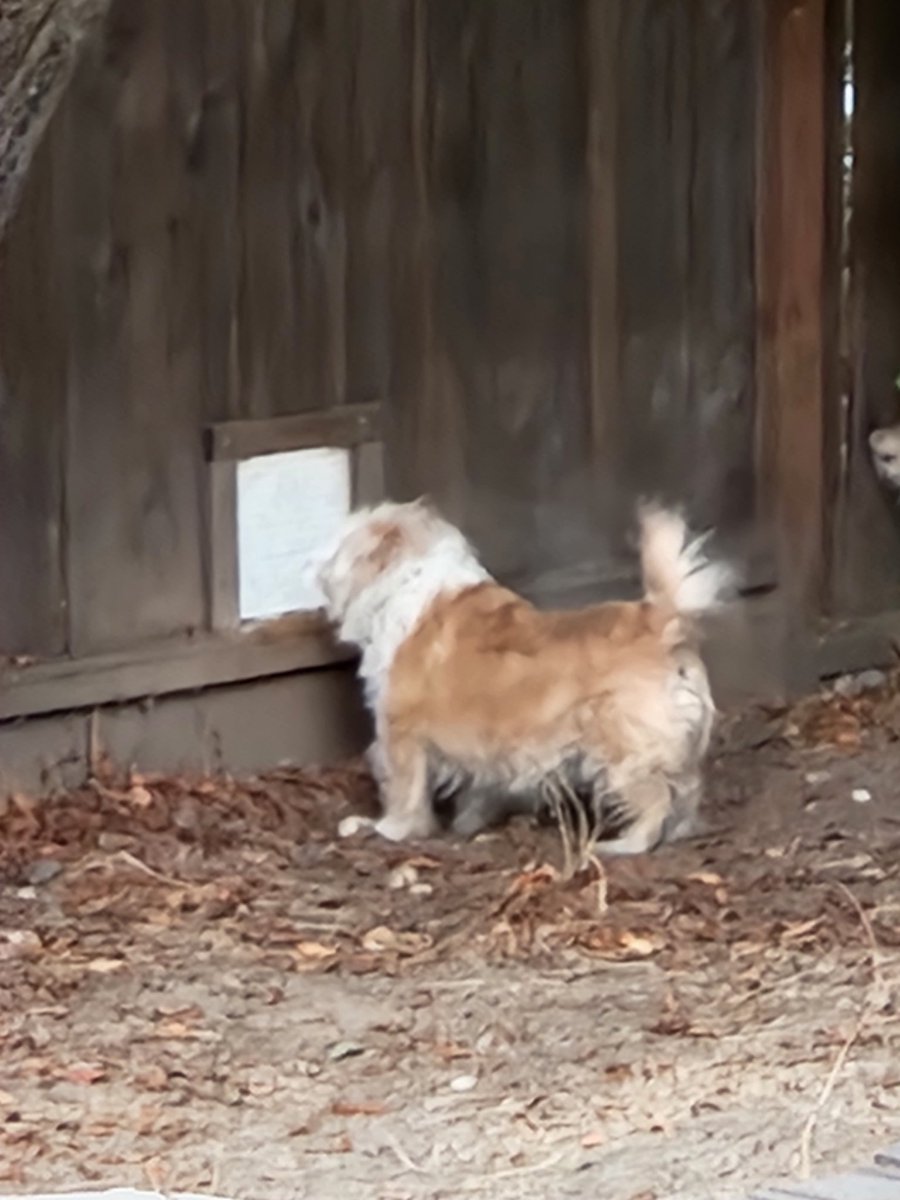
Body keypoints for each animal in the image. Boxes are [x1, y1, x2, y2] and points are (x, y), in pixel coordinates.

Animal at [319, 496, 734, 854]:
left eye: (338, 548)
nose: (315, 564)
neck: (411, 581)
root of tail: (661, 621)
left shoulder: (401, 734)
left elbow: (403, 794)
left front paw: (388, 830)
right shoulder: (483, 750)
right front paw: (468, 823)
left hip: (625, 755)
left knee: (654, 803)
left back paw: (622, 845)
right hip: (677, 748)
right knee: (686, 791)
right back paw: (681, 833)